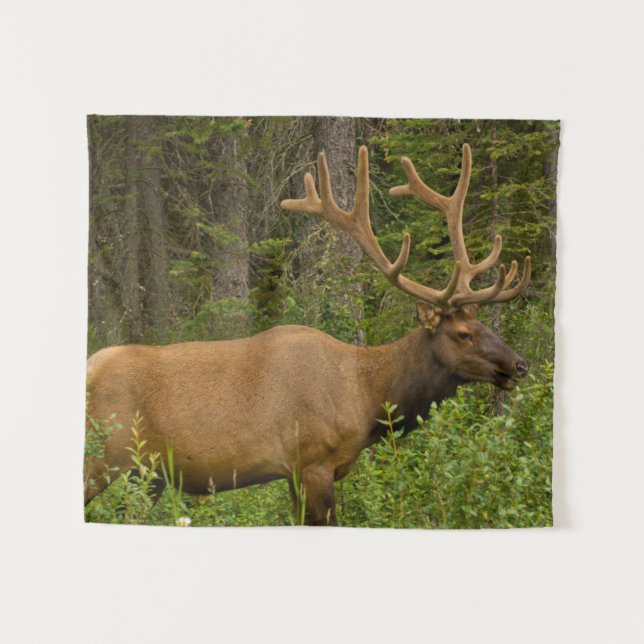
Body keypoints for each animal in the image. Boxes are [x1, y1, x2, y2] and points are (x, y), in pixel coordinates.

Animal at [84, 143, 531, 526]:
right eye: (463, 333)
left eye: (483, 325)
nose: (519, 365)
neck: (366, 397)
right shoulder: (313, 462)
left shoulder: (295, 474)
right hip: (102, 458)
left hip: (145, 475)